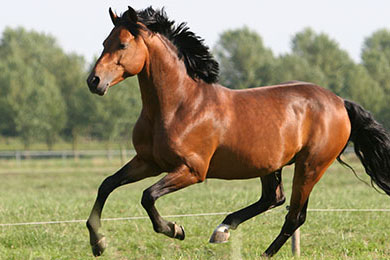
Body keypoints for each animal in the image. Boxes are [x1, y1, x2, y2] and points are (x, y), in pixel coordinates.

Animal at [87, 5, 390, 256]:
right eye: (104, 43)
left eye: (123, 44)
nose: (94, 81)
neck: (179, 105)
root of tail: (340, 101)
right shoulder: (148, 162)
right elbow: (106, 185)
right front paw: (98, 243)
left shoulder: (192, 170)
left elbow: (147, 196)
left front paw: (175, 229)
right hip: (271, 165)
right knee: (274, 199)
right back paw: (223, 229)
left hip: (311, 166)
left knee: (294, 215)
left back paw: (259, 251)